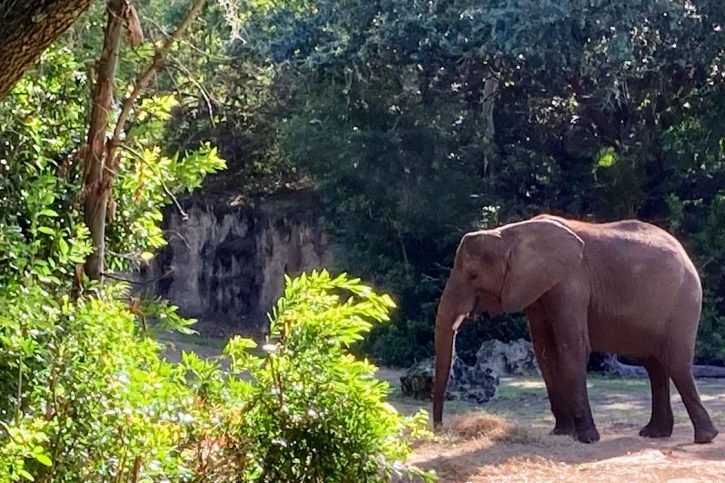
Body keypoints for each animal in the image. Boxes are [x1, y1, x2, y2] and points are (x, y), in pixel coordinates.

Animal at [432, 216, 716, 446]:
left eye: (473, 275)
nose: (440, 429)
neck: (510, 233)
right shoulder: (537, 289)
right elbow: (545, 352)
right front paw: (561, 433)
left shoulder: (571, 281)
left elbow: (571, 346)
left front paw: (587, 438)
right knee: (654, 366)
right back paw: (654, 434)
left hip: (684, 301)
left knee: (676, 363)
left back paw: (705, 438)